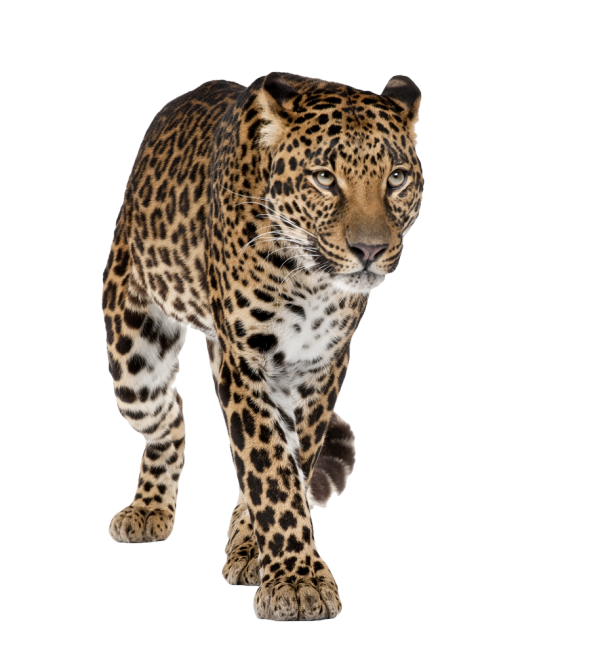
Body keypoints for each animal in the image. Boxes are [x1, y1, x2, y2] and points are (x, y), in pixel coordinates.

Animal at [102, 71, 423, 621]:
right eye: (324, 178)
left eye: (397, 177)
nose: (370, 250)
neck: (311, 280)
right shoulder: (245, 361)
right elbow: (268, 466)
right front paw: (297, 581)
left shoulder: (319, 366)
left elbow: (291, 458)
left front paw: (257, 550)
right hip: (133, 354)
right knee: (170, 414)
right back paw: (148, 508)